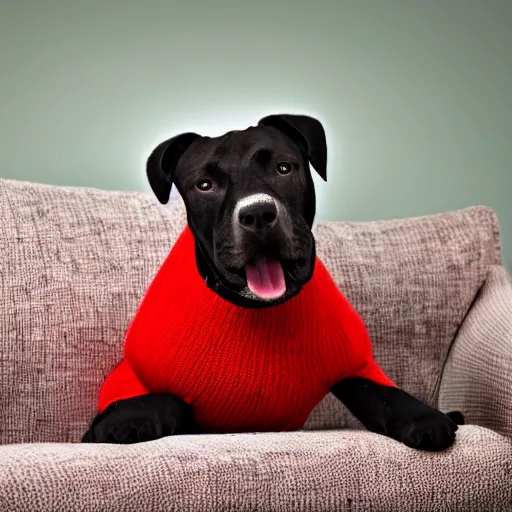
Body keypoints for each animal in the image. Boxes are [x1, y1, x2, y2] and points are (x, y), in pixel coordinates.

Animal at [82, 115, 462, 448]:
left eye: (284, 168)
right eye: (204, 185)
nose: (257, 214)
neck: (258, 309)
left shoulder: (353, 362)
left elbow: (383, 392)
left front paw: (423, 416)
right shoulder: (135, 379)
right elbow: (159, 398)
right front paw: (132, 417)